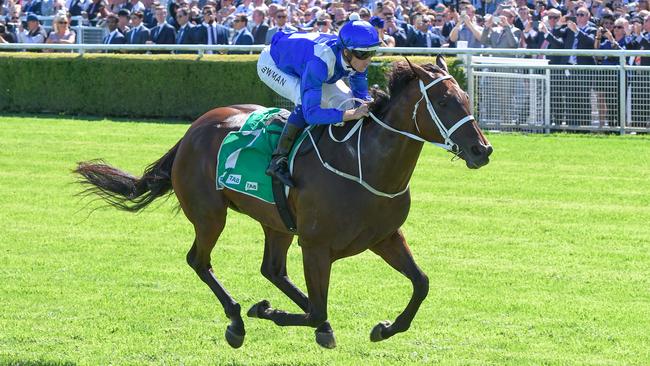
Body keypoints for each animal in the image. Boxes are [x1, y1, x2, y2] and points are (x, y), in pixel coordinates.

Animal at [76, 56, 492, 348]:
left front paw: (385, 328)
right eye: (443, 100)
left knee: (272, 269)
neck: (365, 164)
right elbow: (318, 309)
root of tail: (194, 129)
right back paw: (237, 320)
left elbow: (421, 283)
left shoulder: (385, 237)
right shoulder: (316, 246)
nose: (482, 150)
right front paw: (266, 310)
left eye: (466, 98)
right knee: (200, 260)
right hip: (210, 215)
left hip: (276, 221)